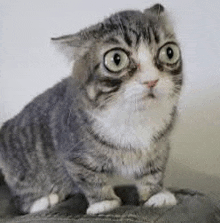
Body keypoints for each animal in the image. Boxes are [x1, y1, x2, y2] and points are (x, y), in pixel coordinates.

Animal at [0, 3, 182, 214]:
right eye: (116, 59)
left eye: (169, 52)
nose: (151, 80)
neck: (134, 117)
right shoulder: (73, 152)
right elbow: (90, 178)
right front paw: (104, 203)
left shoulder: (160, 146)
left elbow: (154, 170)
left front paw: (156, 194)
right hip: (21, 170)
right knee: (21, 197)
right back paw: (44, 201)